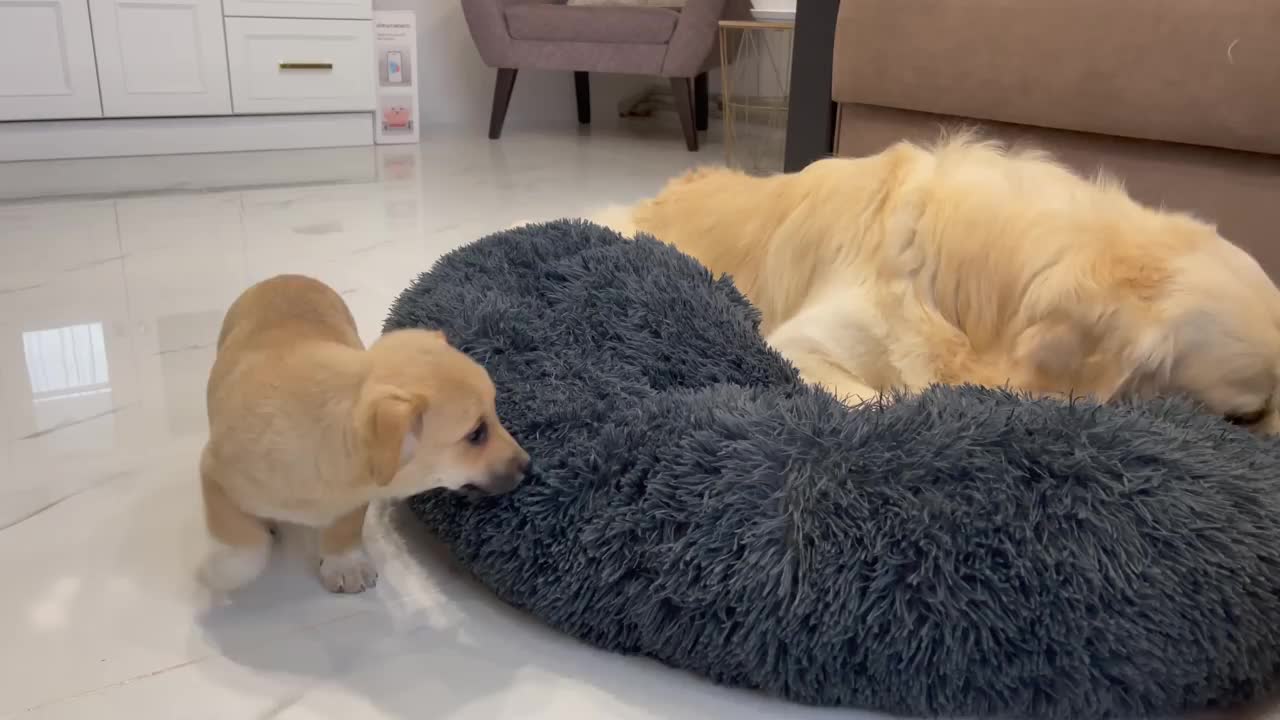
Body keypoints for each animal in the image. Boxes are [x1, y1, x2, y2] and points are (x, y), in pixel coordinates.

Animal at [200, 271, 529, 591]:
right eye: (476, 434)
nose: (528, 465)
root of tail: (286, 276)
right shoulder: (214, 473)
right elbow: (240, 539)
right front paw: (225, 571)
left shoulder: (358, 494)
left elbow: (346, 525)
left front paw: (345, 564)